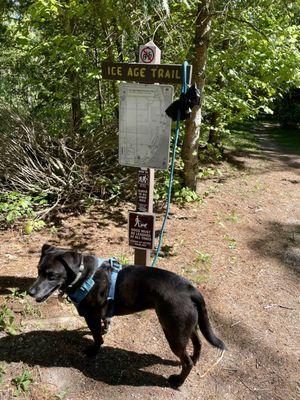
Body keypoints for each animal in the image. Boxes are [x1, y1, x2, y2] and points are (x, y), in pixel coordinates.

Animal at [28, 244, 226, 388]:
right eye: (37, 270)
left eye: (51, 275)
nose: (30, 292)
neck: (82, 275)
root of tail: (191, 290)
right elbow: (102, 329)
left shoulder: (91, 316)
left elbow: (97, 337)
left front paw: (93, 351)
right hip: (186, 326)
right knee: (198, 343)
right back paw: (195, 359)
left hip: (173, 331)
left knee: (187, 362)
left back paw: (178, 381)